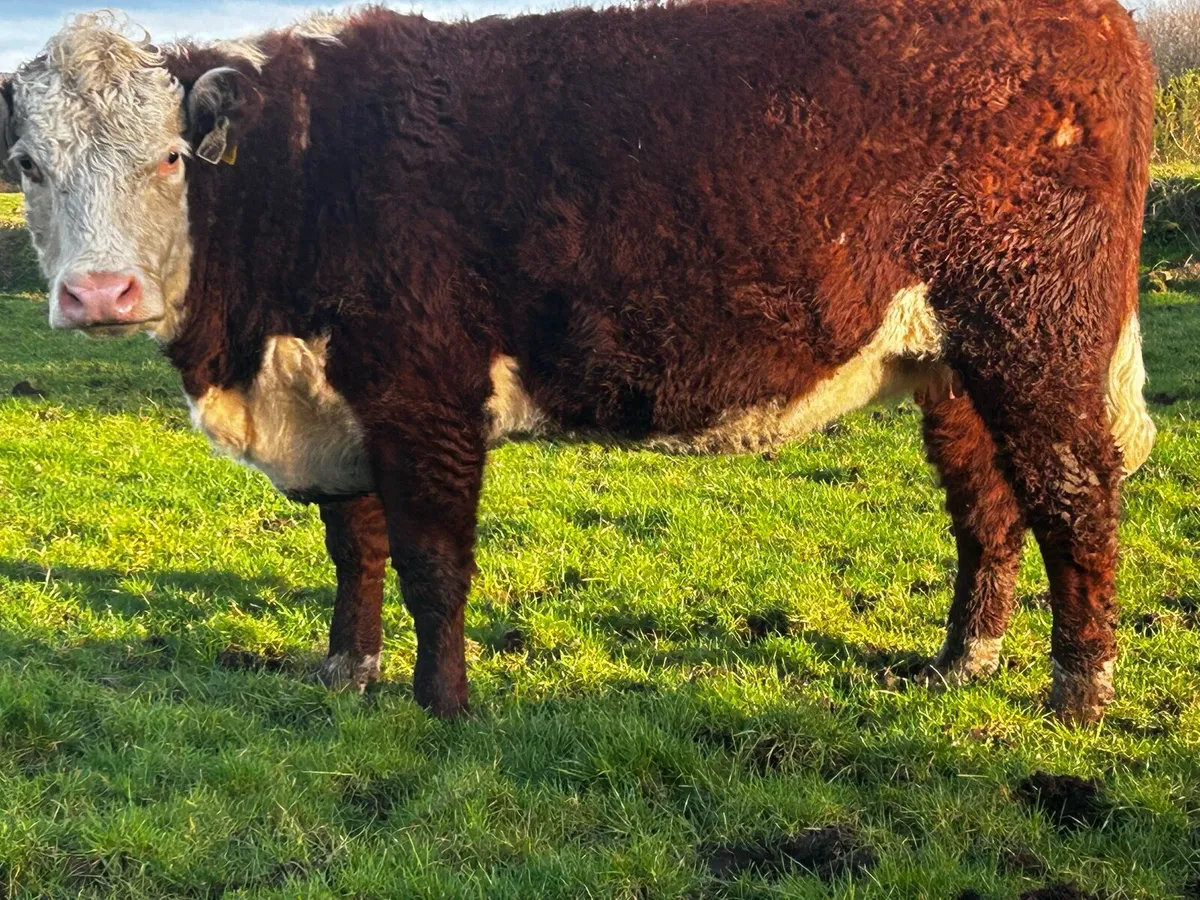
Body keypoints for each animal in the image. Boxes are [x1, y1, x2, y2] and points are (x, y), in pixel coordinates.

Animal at [1, 0, 1156, 723]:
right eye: (29, 165)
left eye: (169, 159)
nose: (99, 295)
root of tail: (1098, 22)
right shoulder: (332, 399)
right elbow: (354, 545)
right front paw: (345, 672)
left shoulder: (424, 392)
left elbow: (431, 561)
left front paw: (442, 708)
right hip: (954, 362)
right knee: (988, 504)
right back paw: (962, 663)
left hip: (1038, 333)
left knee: (1074, 493)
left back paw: (1080, 692)